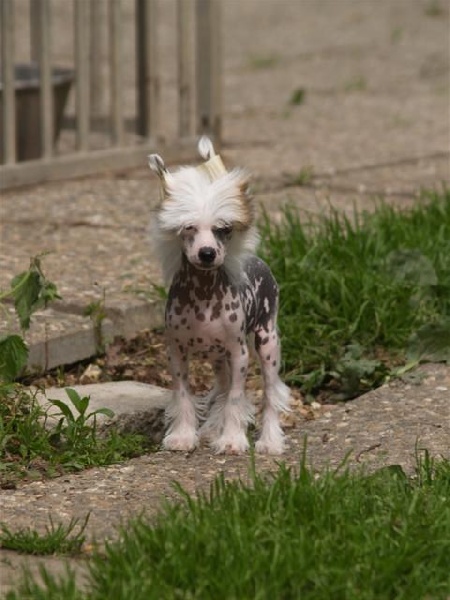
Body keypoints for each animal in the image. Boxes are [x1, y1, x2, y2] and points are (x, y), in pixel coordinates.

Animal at [148, 137, 290, 454]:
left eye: (222, 229)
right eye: (188, 227)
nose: (207, 253)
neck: (202, 295)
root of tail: (256, 259)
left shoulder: (239, 354)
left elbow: (237, 397)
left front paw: (232, 439)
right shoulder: (177, 353)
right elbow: (184, 395)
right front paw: (183, 436)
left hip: (267, 343)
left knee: (270, 393)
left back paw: (269, 440)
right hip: (217, 357)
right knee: (223, 389)